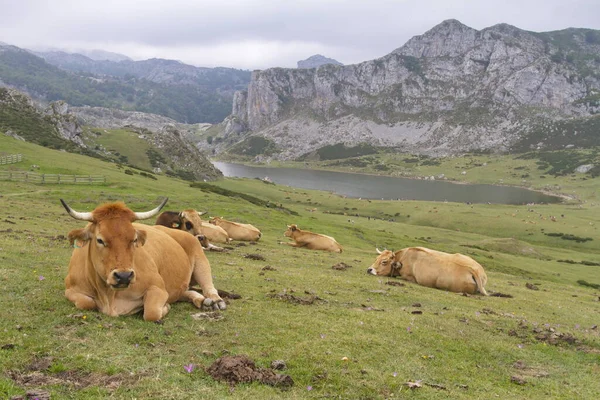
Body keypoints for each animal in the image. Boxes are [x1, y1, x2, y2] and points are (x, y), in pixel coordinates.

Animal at [61, 198, 226, 322]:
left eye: (134, 239)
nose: (124, 276)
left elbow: (151, 313)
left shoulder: (158, 287)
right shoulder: (70, 290)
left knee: (209, 287)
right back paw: (202, 301)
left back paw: (215, 301)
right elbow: (86, 302)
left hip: (201, 262)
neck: (109, 296)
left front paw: (165, 307)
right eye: (100, 240)